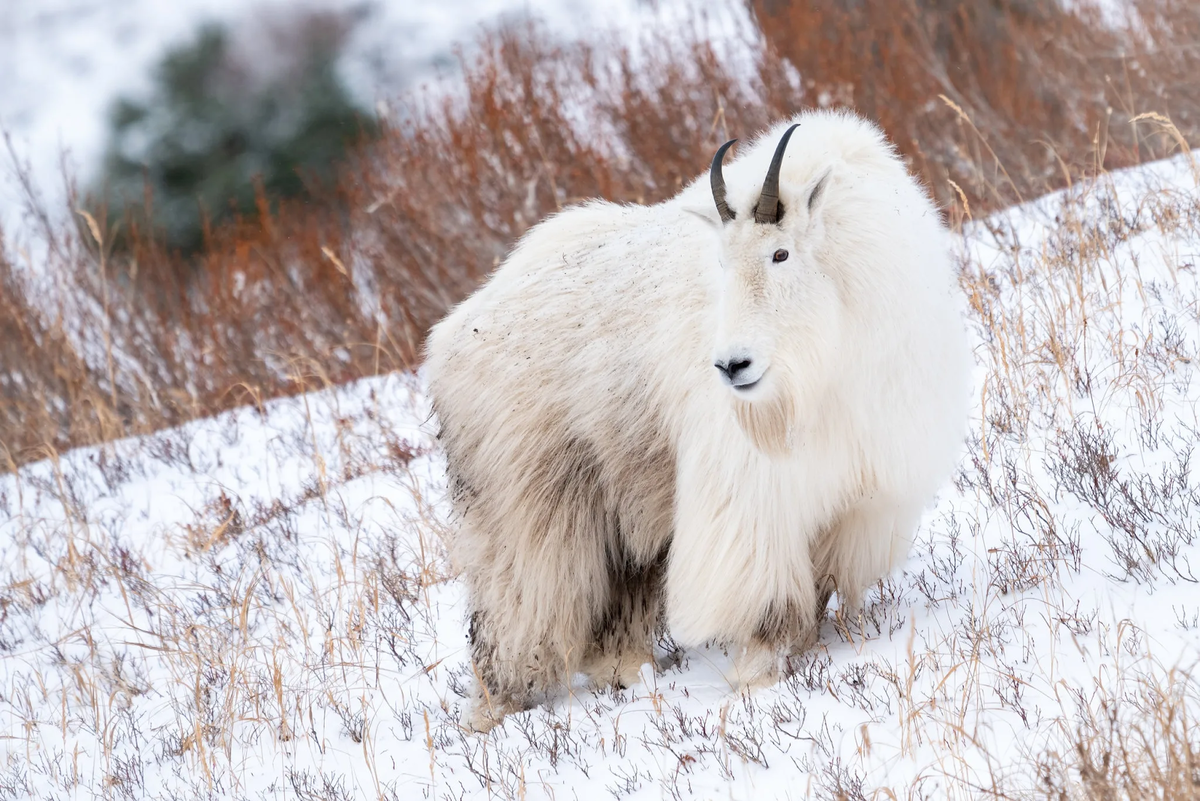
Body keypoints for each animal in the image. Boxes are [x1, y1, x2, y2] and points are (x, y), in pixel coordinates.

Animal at [427, 109, 969, 729]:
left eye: (780, 254)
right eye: (722, 262)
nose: (733, 365)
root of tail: (450, 337)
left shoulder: (867, 487)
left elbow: (822, 580)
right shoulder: (749, 487)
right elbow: (760, 584)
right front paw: (758, 671)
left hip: (622, 486)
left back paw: (627, 671)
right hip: (529, 492)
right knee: (521, 595)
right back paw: (499, 704)